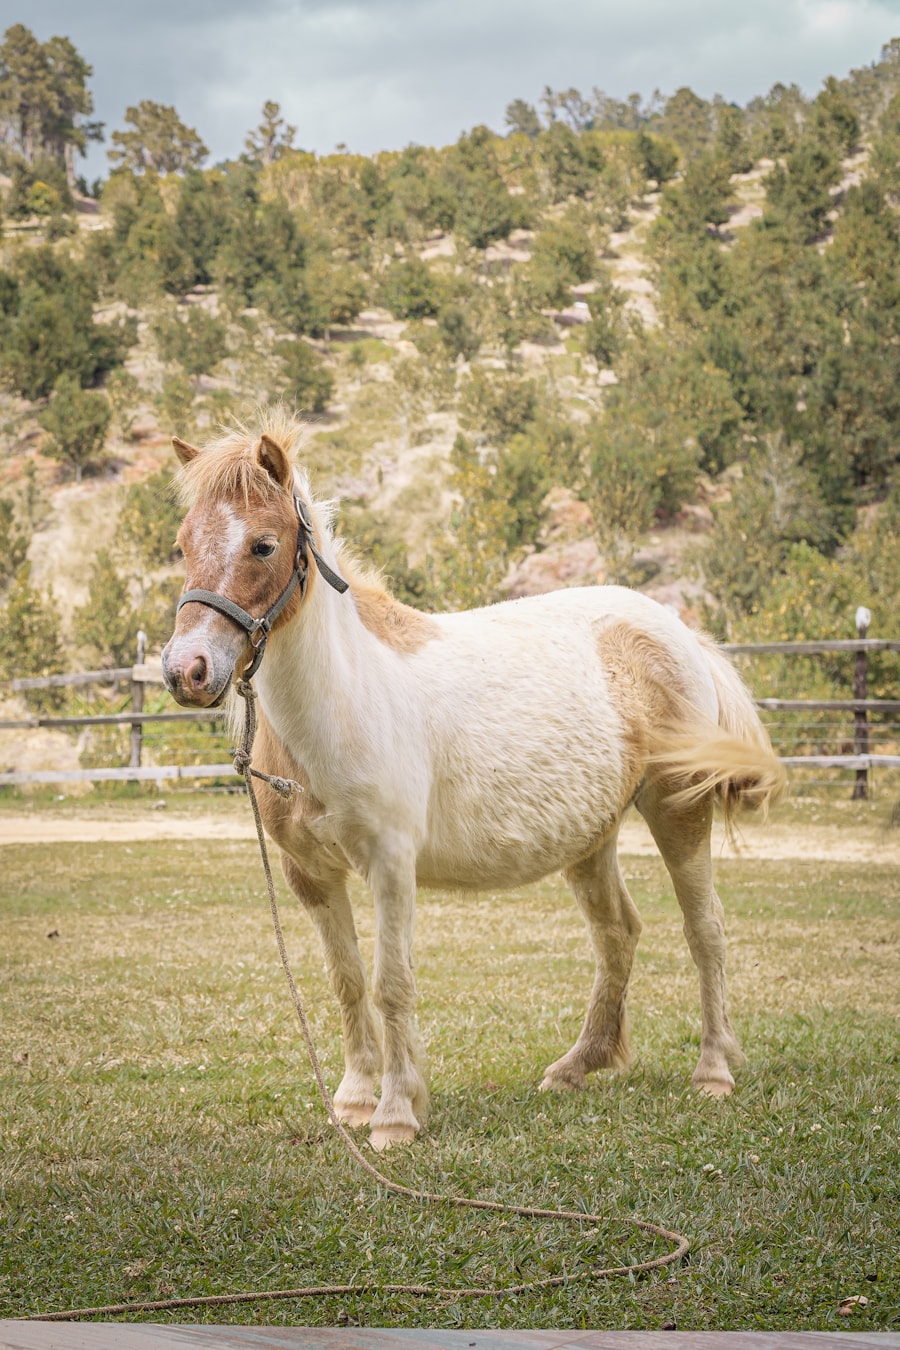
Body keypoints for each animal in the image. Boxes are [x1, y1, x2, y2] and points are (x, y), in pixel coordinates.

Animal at [162, 410, 785, 1150]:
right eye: (182, 544)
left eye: (262, 544)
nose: (187, 671)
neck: (342, 699)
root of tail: (678, 632)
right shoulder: (310, 875)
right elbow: (346, 982)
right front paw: (354, 1100)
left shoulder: (390, 864)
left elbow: (391, 982)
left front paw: (395, 1116)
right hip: (590, 838)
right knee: (618, 934)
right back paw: (576, 1066)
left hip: (676, 810)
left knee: (704, 930)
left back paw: (713, 1071)